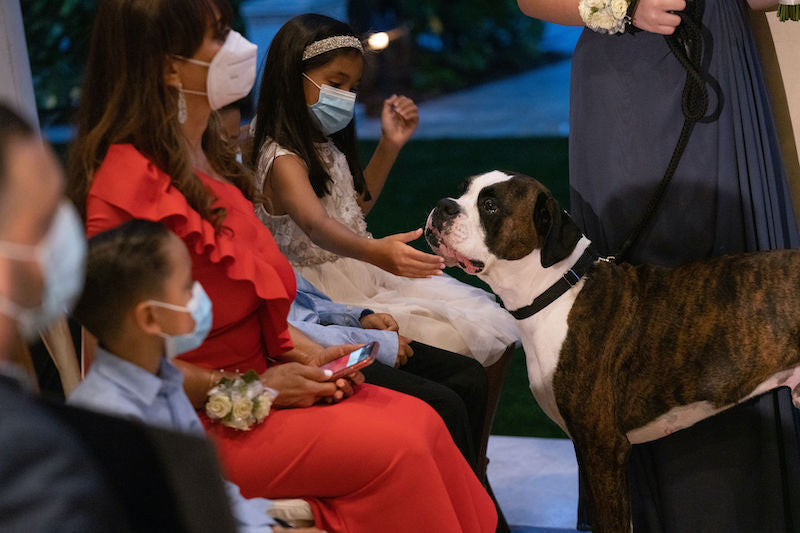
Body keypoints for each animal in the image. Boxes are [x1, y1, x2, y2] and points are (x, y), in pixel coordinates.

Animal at [424, 170, 800, 532]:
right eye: (463, 190)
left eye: (490, 206)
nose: (443, 206)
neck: (555, 290)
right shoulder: (591, 450)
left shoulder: (603, 448)